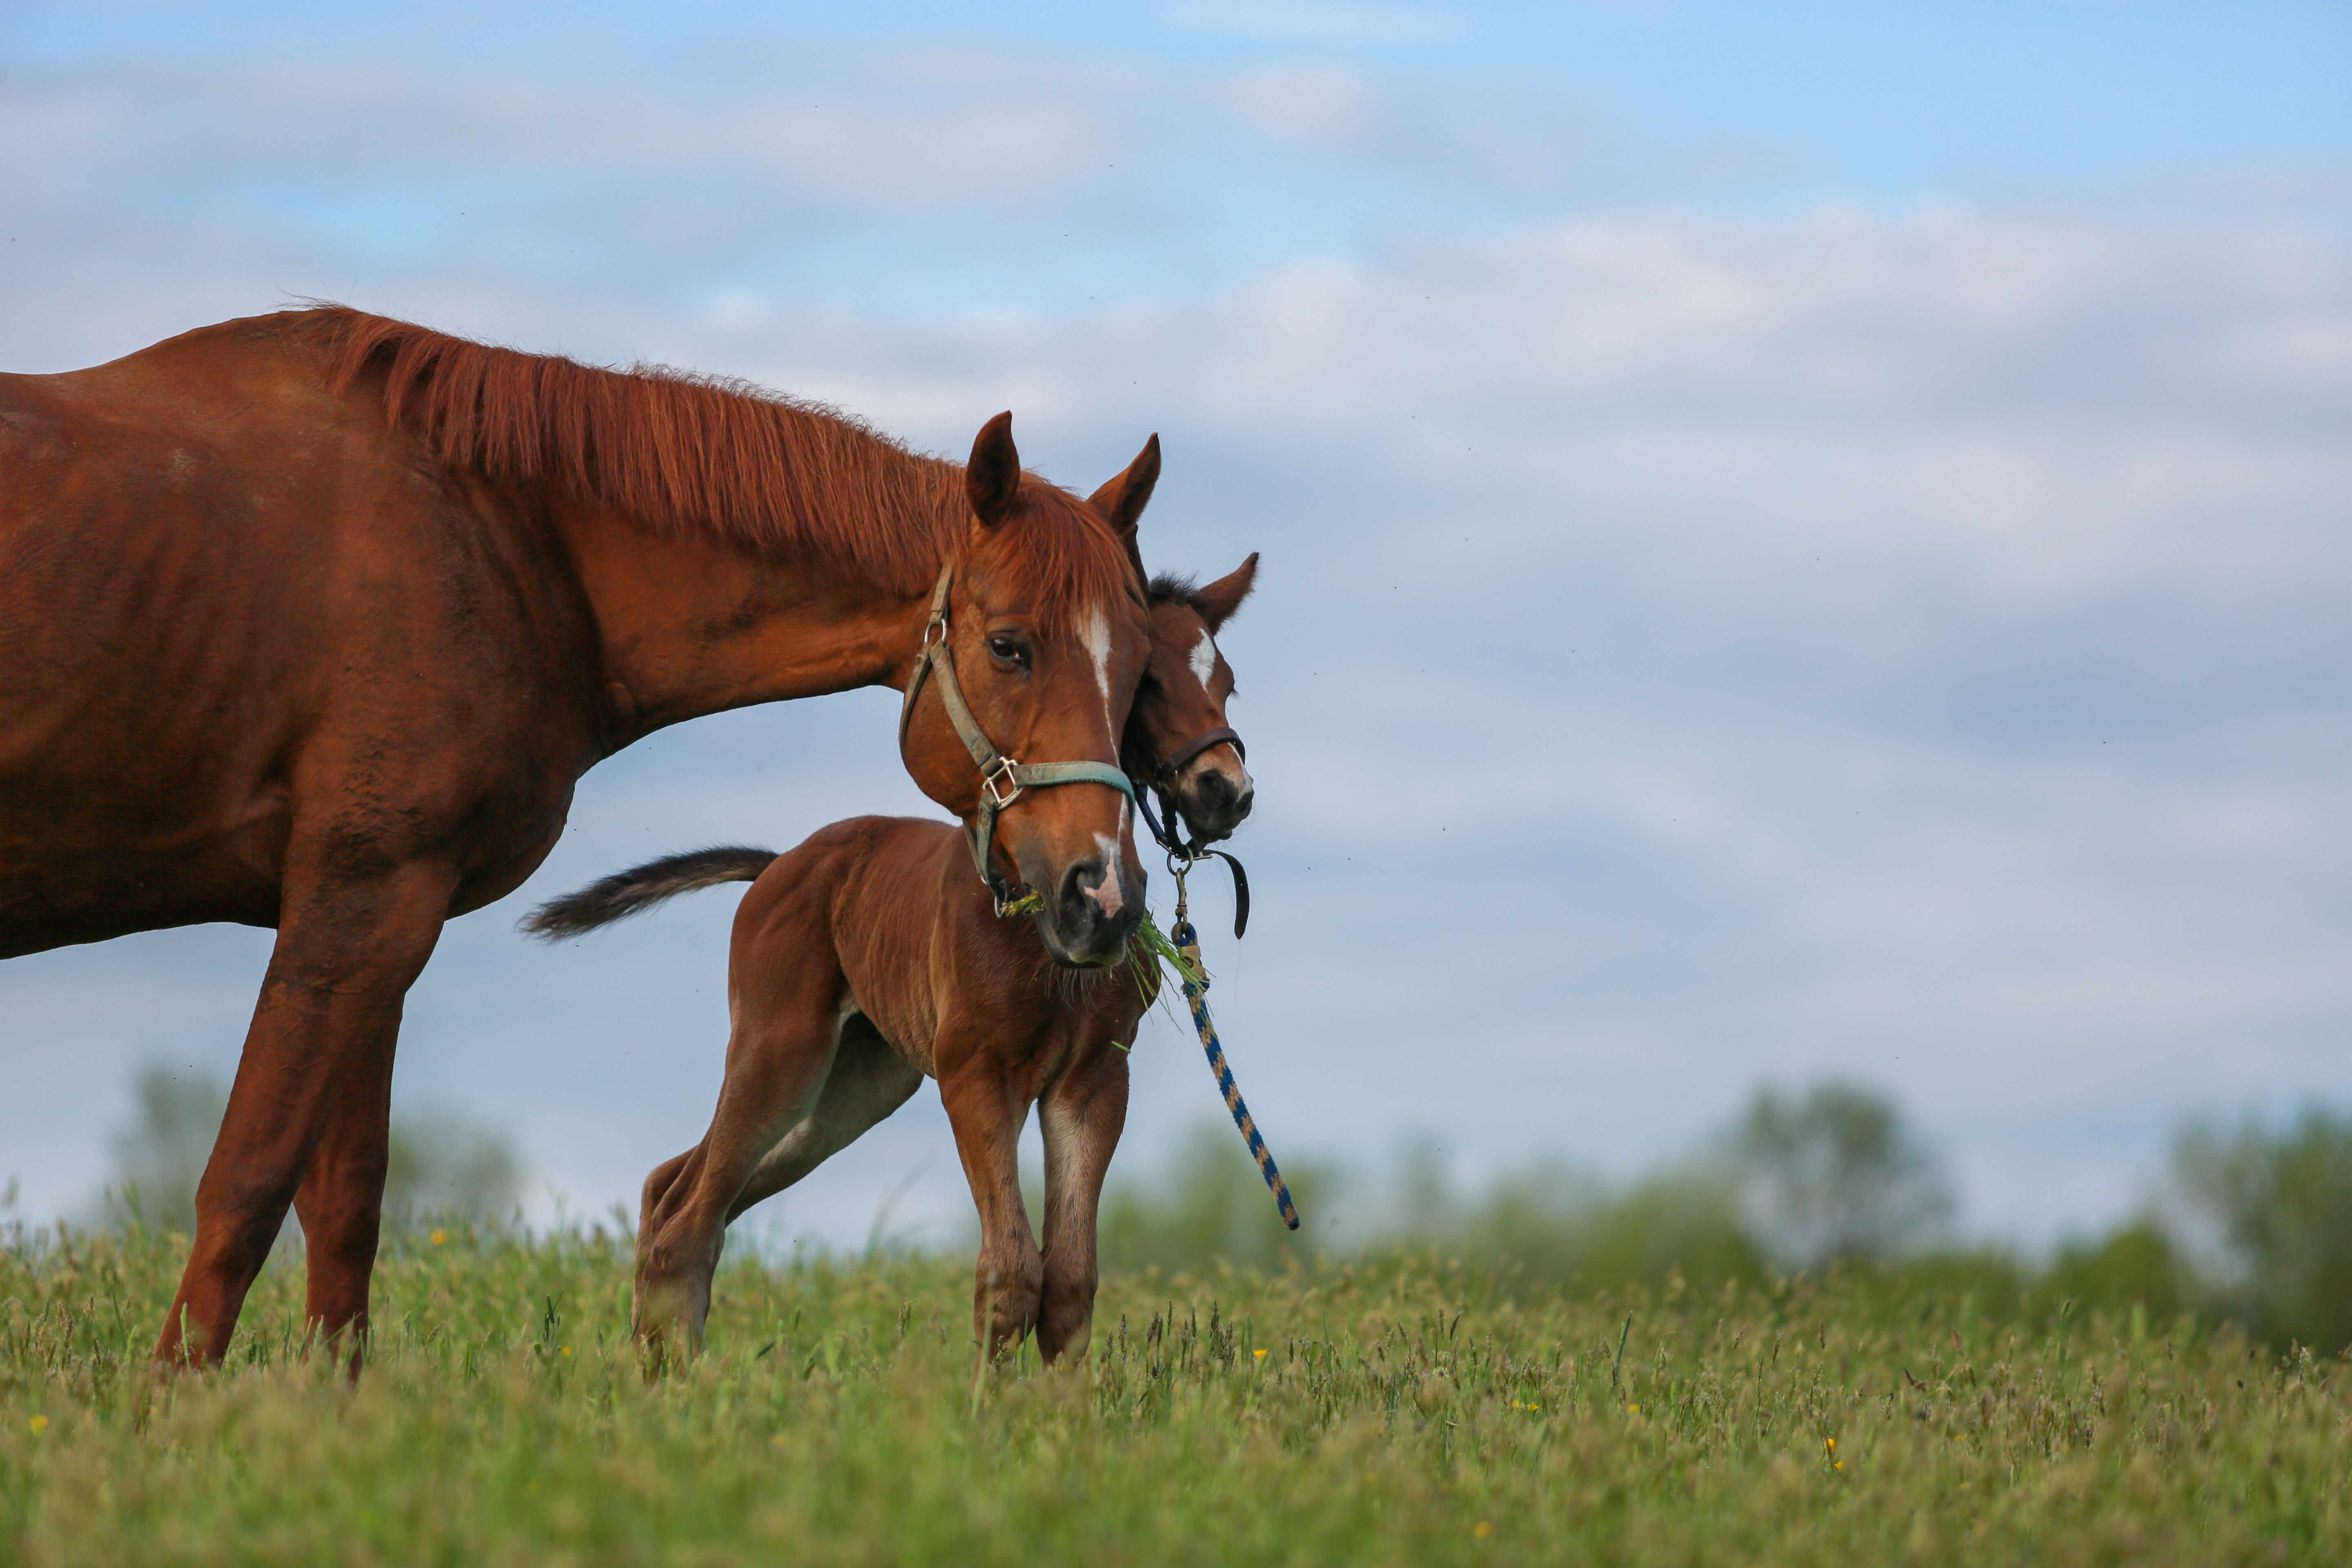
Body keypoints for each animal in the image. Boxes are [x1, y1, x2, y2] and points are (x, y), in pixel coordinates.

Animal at [0, 305, 1157, 1363]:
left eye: (1142, 668)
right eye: (1009, 646)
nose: (1101, 896)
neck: (494, 534)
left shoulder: (380, 908)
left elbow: (346, 1205)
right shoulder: (356, 899)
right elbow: (243, 1186)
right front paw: (171, 1415)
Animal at [524, 561, 1261, 1363]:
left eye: (1227, 682)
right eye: (1148, 680)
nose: (1227, 789)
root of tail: (779, 865)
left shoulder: (1094, 1079)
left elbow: (1069, 1282)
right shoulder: (976, 1073)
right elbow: (1010, 1271)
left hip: (853, 1090)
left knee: (675, 1189)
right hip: (781, 1056)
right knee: (688, 1217)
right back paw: (671, 1380)